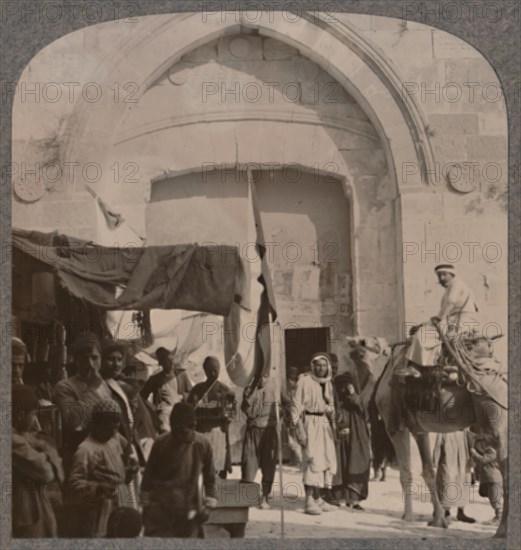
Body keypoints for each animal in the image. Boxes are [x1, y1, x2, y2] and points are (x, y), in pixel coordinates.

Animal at [356, 336, 506, 540]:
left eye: (359, 351)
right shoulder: (420, 430)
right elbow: (428, 471)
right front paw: (439, 520)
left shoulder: (394, 427)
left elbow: (406, 472)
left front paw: (408, 517)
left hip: (494, 414)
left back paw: (501, 529)